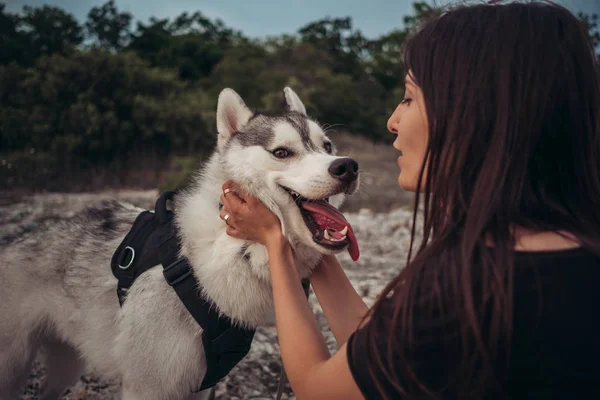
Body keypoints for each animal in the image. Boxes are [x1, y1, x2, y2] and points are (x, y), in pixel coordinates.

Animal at [0, 86, 358, 398]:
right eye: (282, 152)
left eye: (327, 147)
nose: (348, 166)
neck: (226, 250)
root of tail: (15, 242)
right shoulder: (148, 386)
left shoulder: (201, 384)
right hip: (15, 368)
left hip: (67, 365)